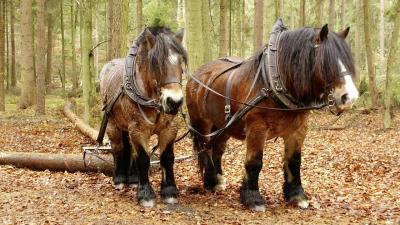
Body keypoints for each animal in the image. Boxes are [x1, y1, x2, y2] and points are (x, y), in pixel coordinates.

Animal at [100, 26, 188, 207]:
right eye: (156, 63)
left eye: (180, 62)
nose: (174, 102)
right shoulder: (138, 129)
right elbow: (143, 159)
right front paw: (145, 194)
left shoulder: (170, 128)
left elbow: (167, 158)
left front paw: (169, 191)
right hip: (113, 124)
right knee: (118, 148)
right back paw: (119, 179)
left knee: (130, 150)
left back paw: (133, 178)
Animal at [186, 19, 358, 211]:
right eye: (326, 63)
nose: (349, 97)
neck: (271, 80)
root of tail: (197, 75)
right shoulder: (257, 128)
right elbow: (254, 162)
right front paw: (253, 197)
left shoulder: (298, 131)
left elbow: (294, 161)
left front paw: (296, 195)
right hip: (202, 123)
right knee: (205, 148)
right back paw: (210, 181)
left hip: (224, 125)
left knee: (218, 149)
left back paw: (218, 178)